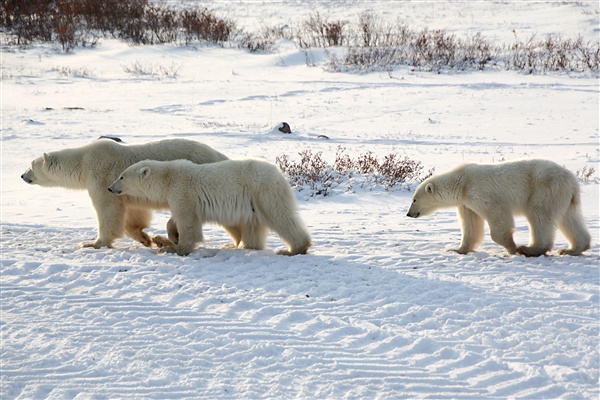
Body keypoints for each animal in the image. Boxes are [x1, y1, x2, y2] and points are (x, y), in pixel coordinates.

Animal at [21, 139, 227, 248]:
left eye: (31, 165)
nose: (22, 175)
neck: (83, 161)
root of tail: (221, 155)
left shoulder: (100, 175)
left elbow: (108, 208)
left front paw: (93, 243)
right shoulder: (124, 188)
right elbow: (133, 212)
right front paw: (144, 238)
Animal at [108, 158, 312, 255]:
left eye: (121, 176)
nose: (110, 188)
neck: (167, 178)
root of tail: (279, 173)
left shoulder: (183, 190)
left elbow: (187, 221)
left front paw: (175, 247)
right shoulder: (179, 195)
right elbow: (176, 218)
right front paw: (169, 237)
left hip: (263, 191)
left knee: (280, 215)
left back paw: (293, 249)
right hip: (253, 202)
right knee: (252, 226)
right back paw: (241, 246)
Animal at [408, 159, 592, 256]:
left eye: (414, 199)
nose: (409, 214)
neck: (462, 182)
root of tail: (572, 181)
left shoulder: (481, 192)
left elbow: (498, 216)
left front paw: (512, 247)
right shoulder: (466, 203)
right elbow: (471, 225)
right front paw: (457, 249)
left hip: (544, 188)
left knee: (539, 215)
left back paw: (530, 249)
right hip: (563, 197)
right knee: (569, 218)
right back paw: (572, 249)